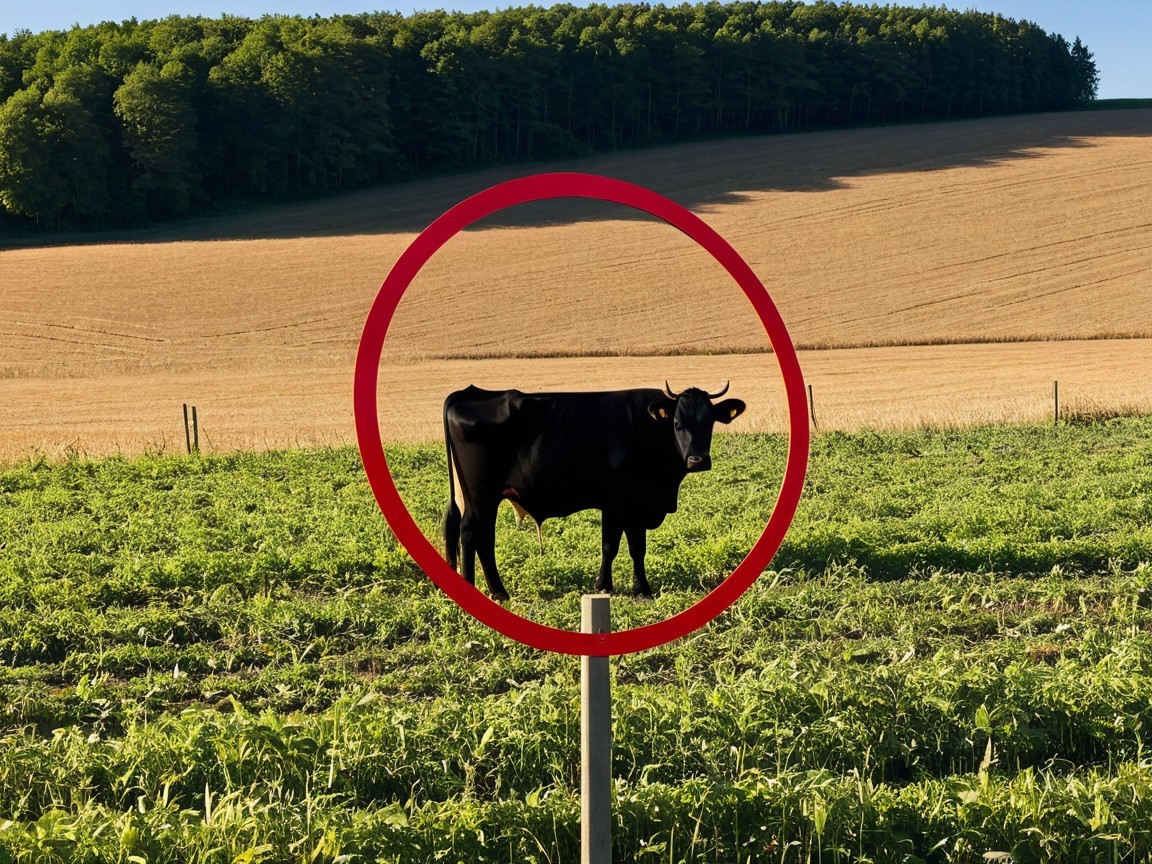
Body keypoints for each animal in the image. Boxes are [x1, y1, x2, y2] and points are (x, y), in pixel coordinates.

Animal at [441, 382, 746, 600]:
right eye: (677, 423)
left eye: (709, 422)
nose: (697, 460)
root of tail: (468, 393)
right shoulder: (630, 504)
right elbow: (634, 548)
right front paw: (641, 589)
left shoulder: (614, 505)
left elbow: (610, 546)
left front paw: (604, 585)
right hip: (481, 496)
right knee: (471, 533)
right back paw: (482, 588)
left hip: (473, 496)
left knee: (476, 535)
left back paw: (495, 591)